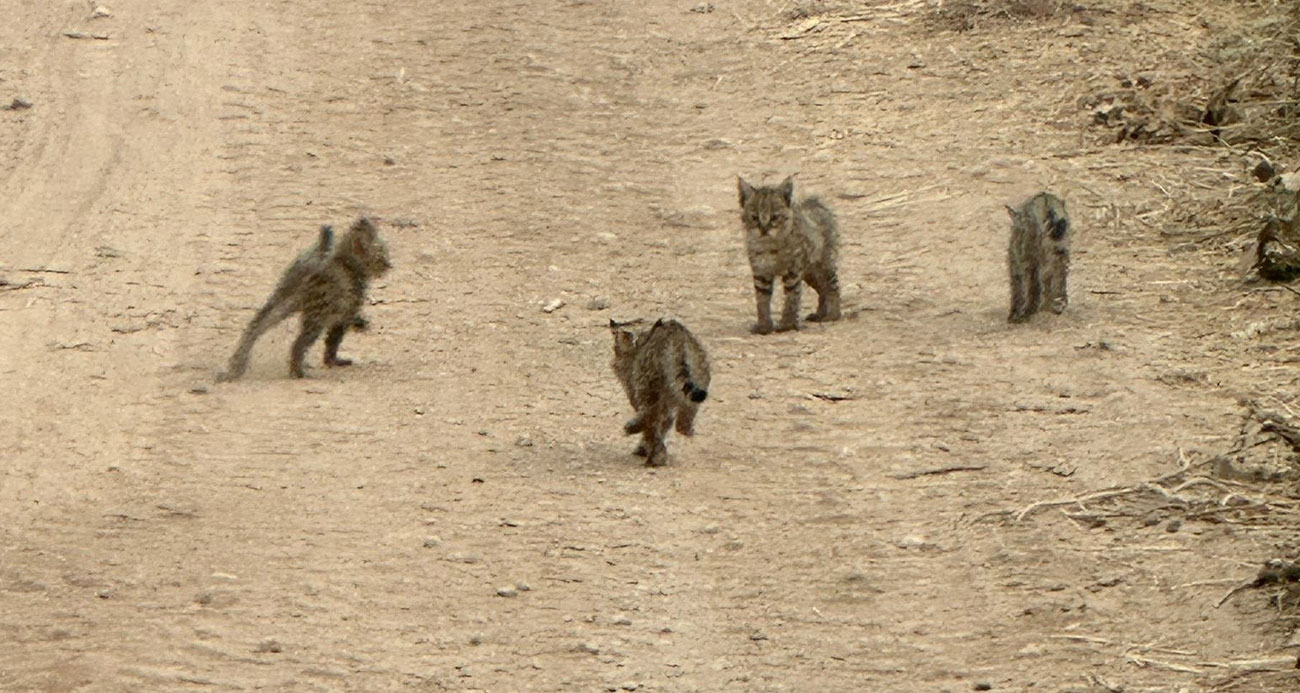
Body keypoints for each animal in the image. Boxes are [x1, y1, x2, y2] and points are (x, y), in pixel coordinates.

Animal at [219, 215, 390, 382]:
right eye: (382, 252)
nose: (390, 264)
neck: (347, 263)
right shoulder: (346, 310)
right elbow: (333, 340)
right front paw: (332, 360)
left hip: (281, 298)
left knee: (254, 327)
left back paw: (236, 366)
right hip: (316, 315)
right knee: (297, 344)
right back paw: (298, 373)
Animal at [608, 315, 712, 468]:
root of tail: (677, 335)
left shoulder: (637, 390)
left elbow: (654, 426)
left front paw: (650, 450)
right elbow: (664, 424)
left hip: (647, 385)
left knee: (650, 416)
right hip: (698, 381)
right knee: (683, 421)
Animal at [738, 174, 837, 332]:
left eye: (774, 217)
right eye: (754, 217)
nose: (764, 229)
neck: (770, 246)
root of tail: (814, 203)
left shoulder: (793, 271)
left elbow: (792, 297)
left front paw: (787, 324)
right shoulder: (761, 272)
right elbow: (762, 299)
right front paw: (764, 326)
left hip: (823, 263)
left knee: (832, 286)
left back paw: (833, 314)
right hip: (810, 273)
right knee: (822, 289)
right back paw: (820, 314)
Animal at [1008, 191, 1071, 322]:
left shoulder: (1019, 263)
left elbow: (1020, 289)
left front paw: (1016, 313)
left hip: (1032, 258)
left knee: (1034, 284)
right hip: (1059, 251)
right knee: (1058, 277)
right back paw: (1056, 304)